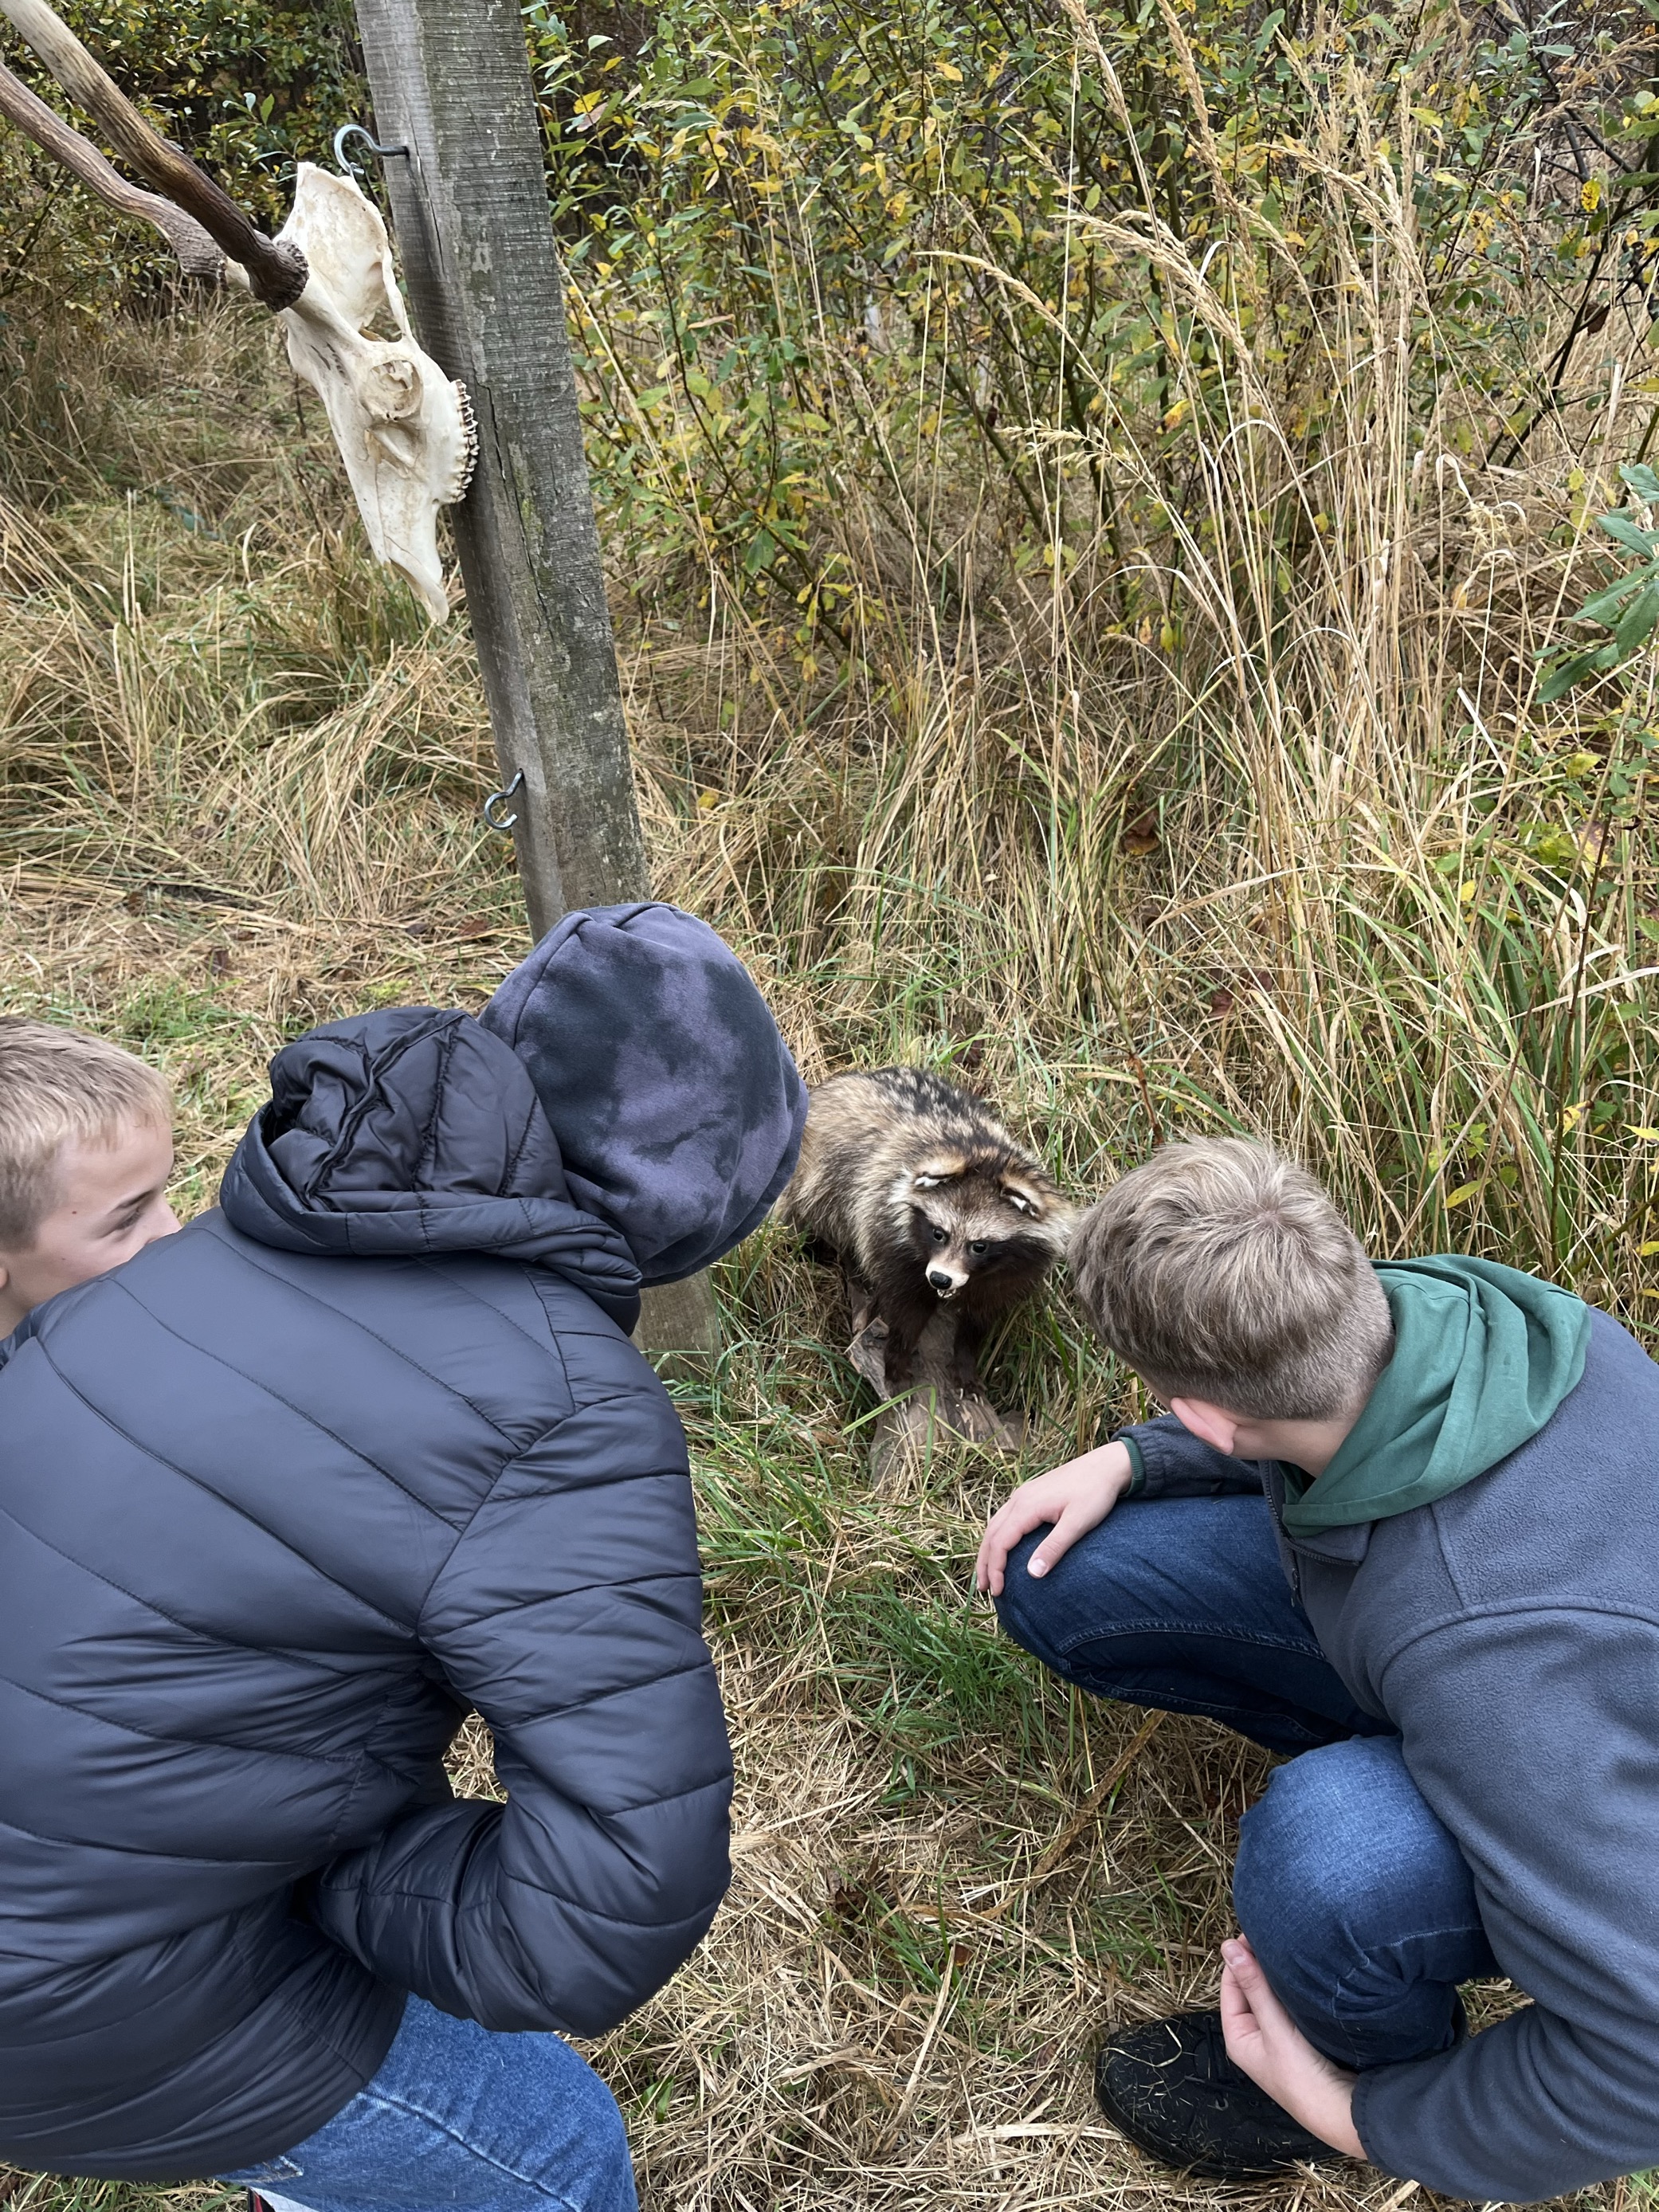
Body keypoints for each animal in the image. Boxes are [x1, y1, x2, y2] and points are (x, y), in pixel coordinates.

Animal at [779, 1061, 1079, 1389]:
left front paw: (965, 1363)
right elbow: (907, 1309)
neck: (985, 1155)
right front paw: (897, 1358)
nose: (940, 1279)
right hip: (816, 1177)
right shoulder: (890, 1233)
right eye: (938, 1233)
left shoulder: (1011, 1273)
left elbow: (979, 1318)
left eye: (979, 1246)